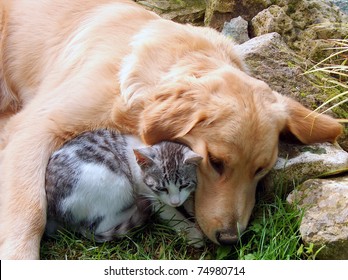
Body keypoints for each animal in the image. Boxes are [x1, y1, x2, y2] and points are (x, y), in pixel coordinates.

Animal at [46, 129, 204, 245]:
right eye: (161, 189)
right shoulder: (149, 193)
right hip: (118, 184)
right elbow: (169, 212)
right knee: (100, 225)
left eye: (184, 185)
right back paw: (135, 208)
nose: (175, 202)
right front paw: (191, 232)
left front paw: (192, 207)